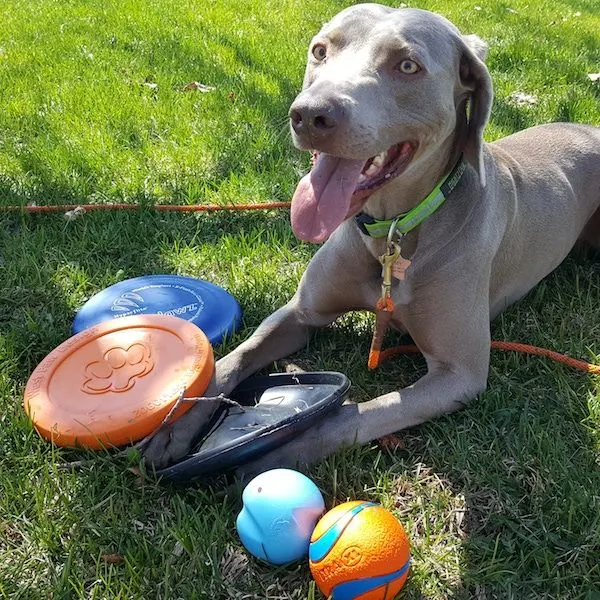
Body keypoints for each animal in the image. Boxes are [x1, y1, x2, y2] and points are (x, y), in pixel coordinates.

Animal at [144, 3, 600, 474]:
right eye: (320, 50)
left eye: (407, 65)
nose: (310, 115)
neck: (392, 232)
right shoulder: (298, 312)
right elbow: (235, 357)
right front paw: (178, 424)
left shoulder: (459, 373)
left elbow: (354, 415)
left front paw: (282, 449)